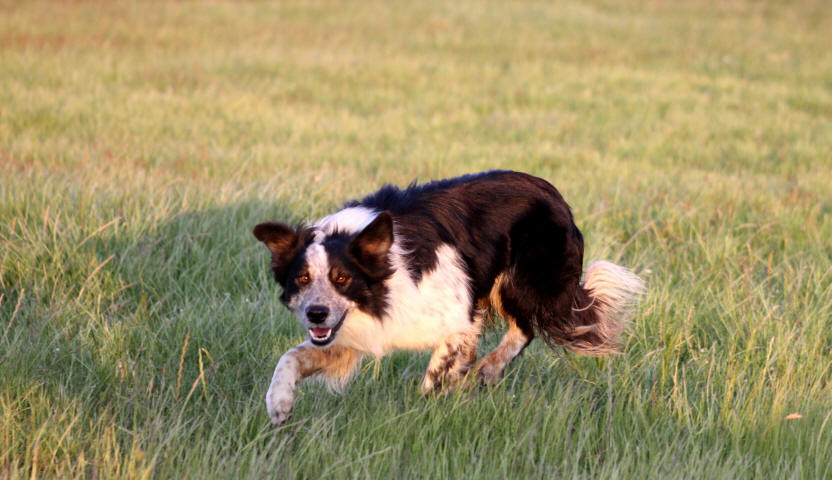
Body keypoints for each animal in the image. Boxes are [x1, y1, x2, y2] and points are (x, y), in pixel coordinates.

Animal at [252, 170, 644, 424]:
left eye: (342, 278)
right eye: (302, 278)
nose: (316, 314)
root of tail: (555, 193)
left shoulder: (459, 320)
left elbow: (436, 375)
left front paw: (431, 410)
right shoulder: (351, 334)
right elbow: (290, 357)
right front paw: (279, 405)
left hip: (526, 283)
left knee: (529, 326)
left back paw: (487, 368)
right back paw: (487, 371)